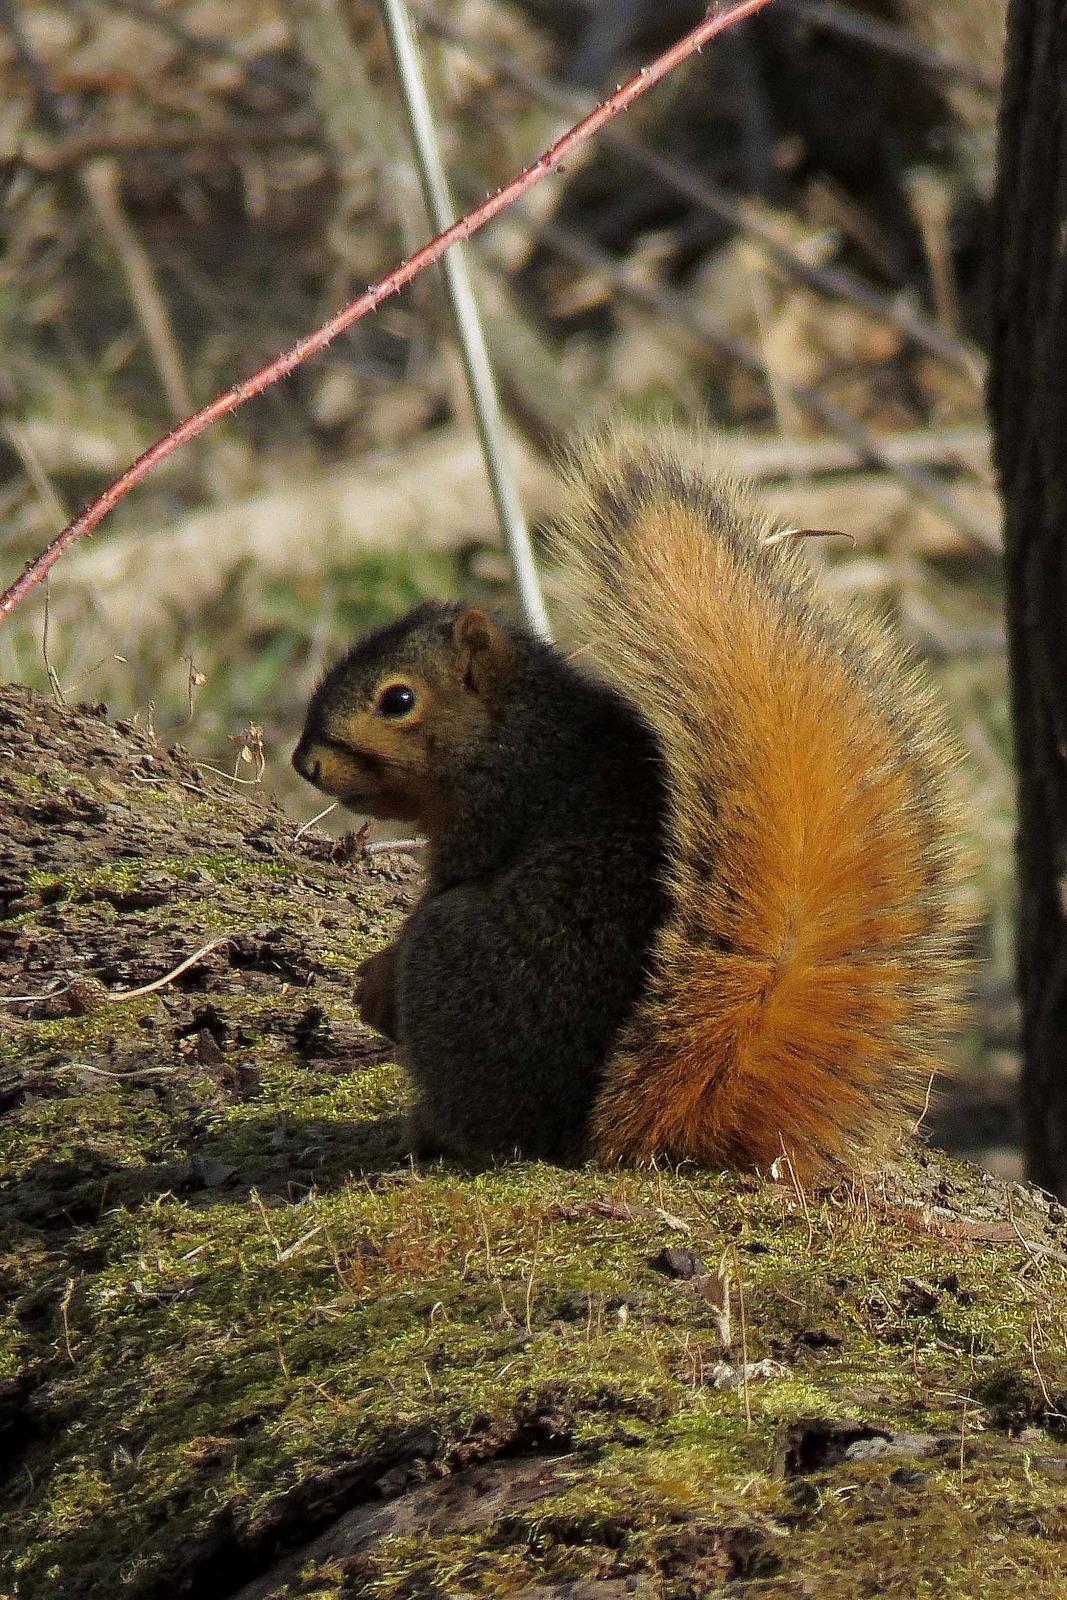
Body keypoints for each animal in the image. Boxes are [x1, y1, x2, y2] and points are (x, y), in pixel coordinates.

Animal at [292, 427, 969, 1182]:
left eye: (398, 699)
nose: (304, 763)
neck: (512, 722)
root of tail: (599, 1136)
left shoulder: (496, 809)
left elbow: (433, 893)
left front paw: (374, 980)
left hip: (462, 967)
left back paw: (427, 1130)